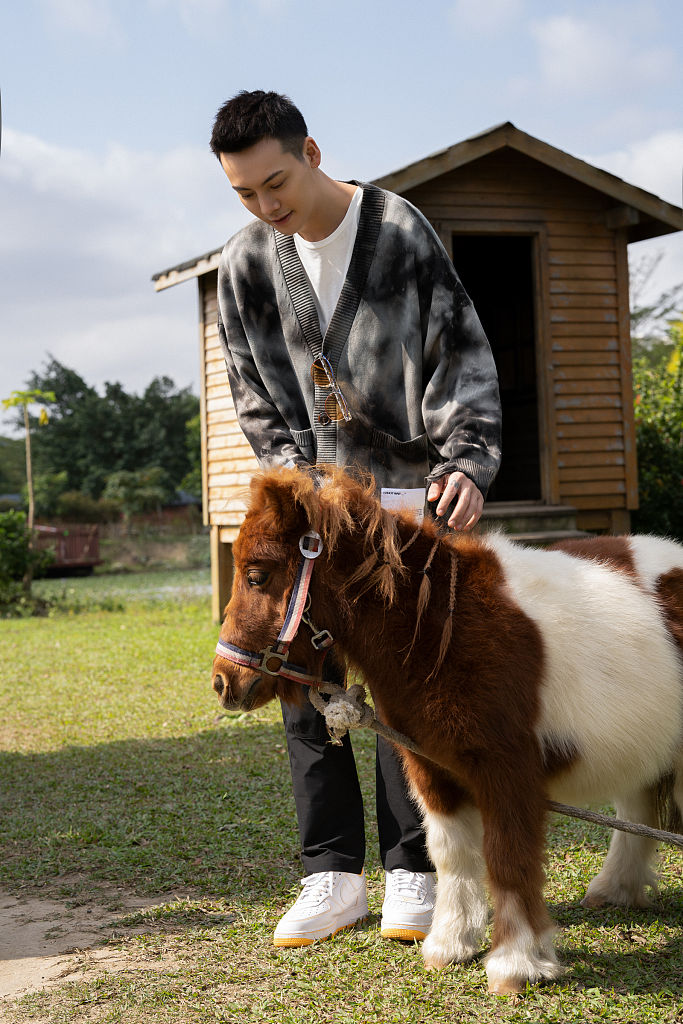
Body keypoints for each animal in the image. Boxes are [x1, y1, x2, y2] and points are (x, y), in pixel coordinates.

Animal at [211, 468, 683, 995]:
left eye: (257, 574)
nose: (223, 682)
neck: (445, 630)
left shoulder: (507, 773)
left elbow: (508, 858)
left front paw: (515, 963)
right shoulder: (432, 767)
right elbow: (451, 855)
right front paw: (449, 945)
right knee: (638, 808)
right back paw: (613, 890)